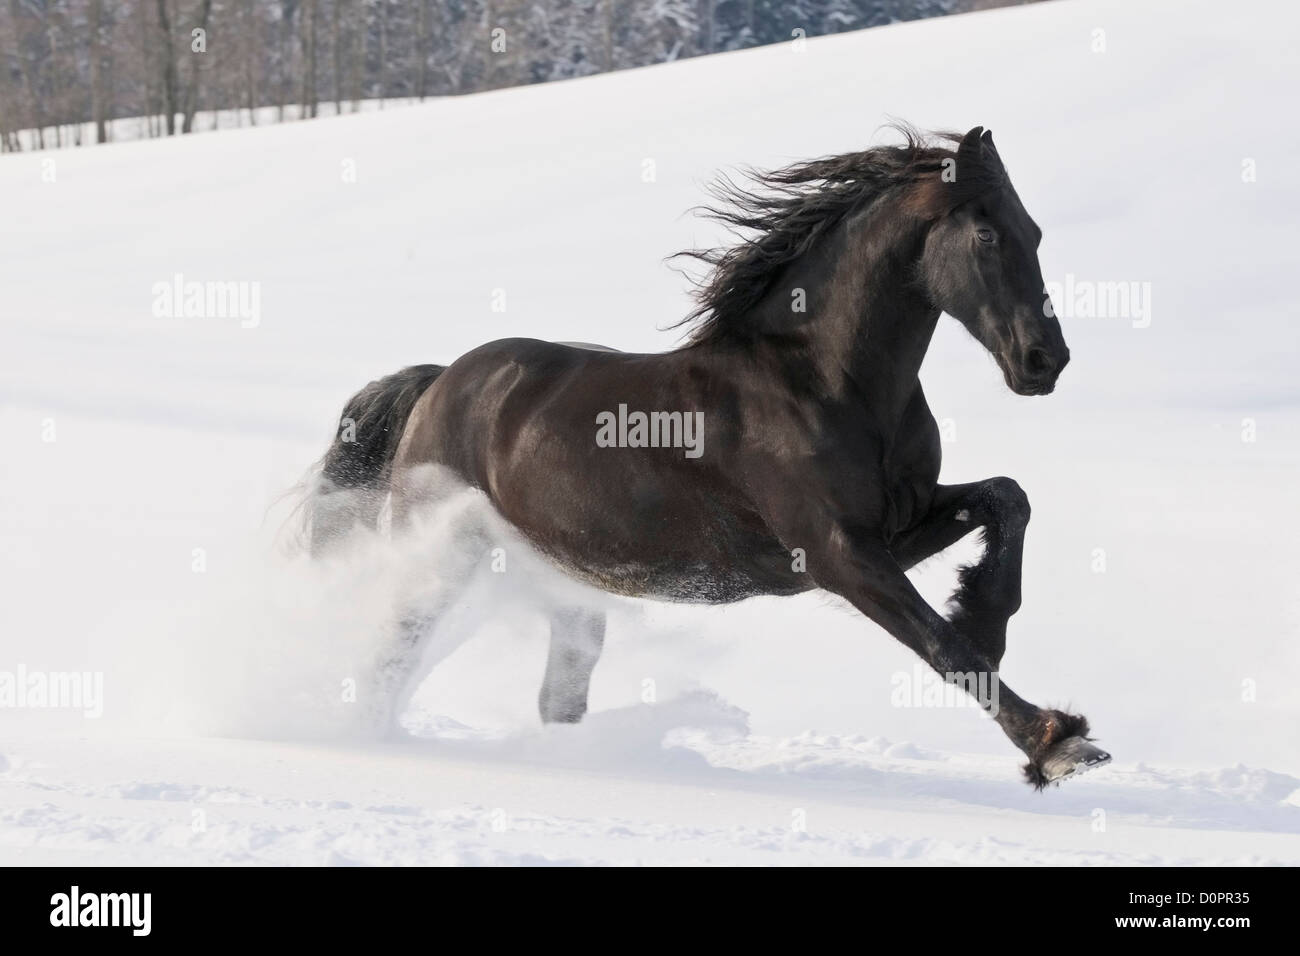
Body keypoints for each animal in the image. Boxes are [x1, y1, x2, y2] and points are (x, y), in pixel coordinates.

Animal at [303, 125, 1110, 787]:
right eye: (987, 237)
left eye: (1034, 231)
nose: (1045, 361)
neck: (820, 381)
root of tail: (440, 382)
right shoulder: (837, 553)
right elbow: (940, 645)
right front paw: (1056, 742)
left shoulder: (896, 526)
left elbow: (1007, 498)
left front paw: (987, 618)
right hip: (445, 558)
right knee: (393, 652)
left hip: (565, 585)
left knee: (556, 693)